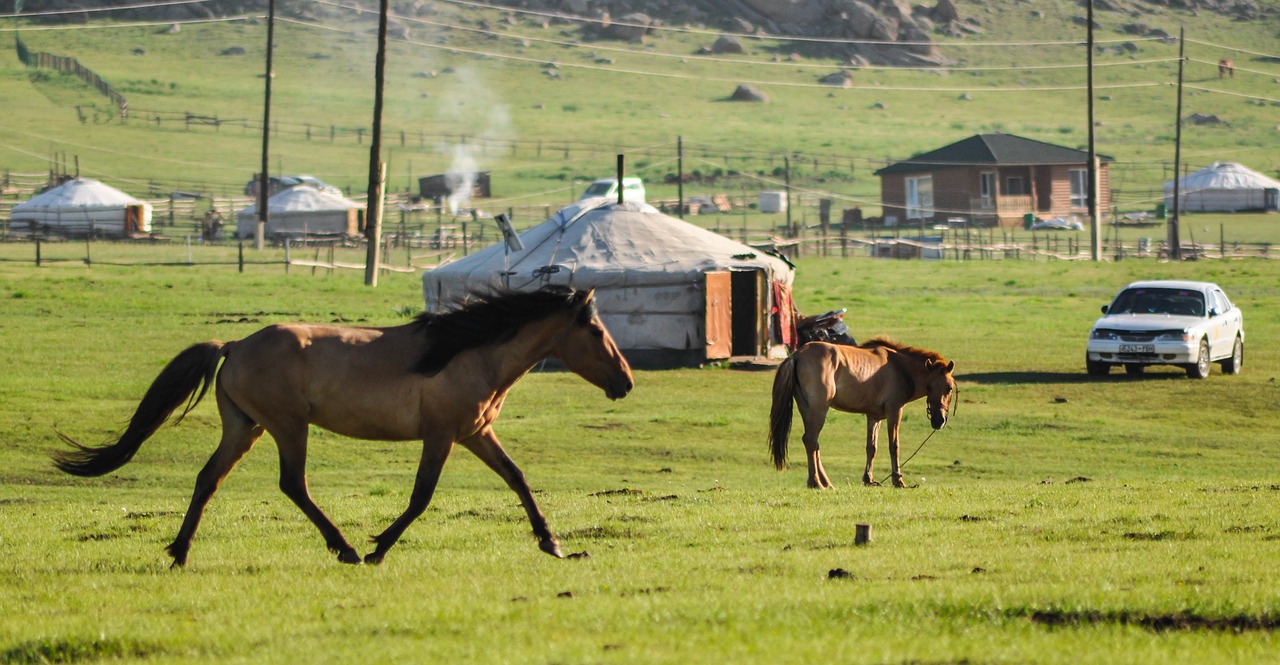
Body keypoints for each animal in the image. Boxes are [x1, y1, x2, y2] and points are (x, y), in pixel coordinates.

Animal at [55, 285, 634, 565]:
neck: (469, 353)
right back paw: (346, 549)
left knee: (207, 480)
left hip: (245, 428)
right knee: (293, 484)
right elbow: (421, 498)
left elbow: (517, 479)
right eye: (597, 331)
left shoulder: (475, 434)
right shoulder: (443, 436)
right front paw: (378, 548)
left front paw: (552, 543)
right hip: (288, 427)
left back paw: (179, 554)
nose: (625, 382)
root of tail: (235, 345)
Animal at [768, 340, 952, 485]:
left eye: (949, 388)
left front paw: (868, 479)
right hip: (819, 410)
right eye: (929, 387)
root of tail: (796, 355)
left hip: (807, 410)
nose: (938, 421)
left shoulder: (874, 417)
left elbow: (872, 447)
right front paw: (898, 480)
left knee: (814, 444)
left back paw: (825, 482)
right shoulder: (895, 411)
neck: (899, 367)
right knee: (810, 440)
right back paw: (816, 482)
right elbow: (894, 446)